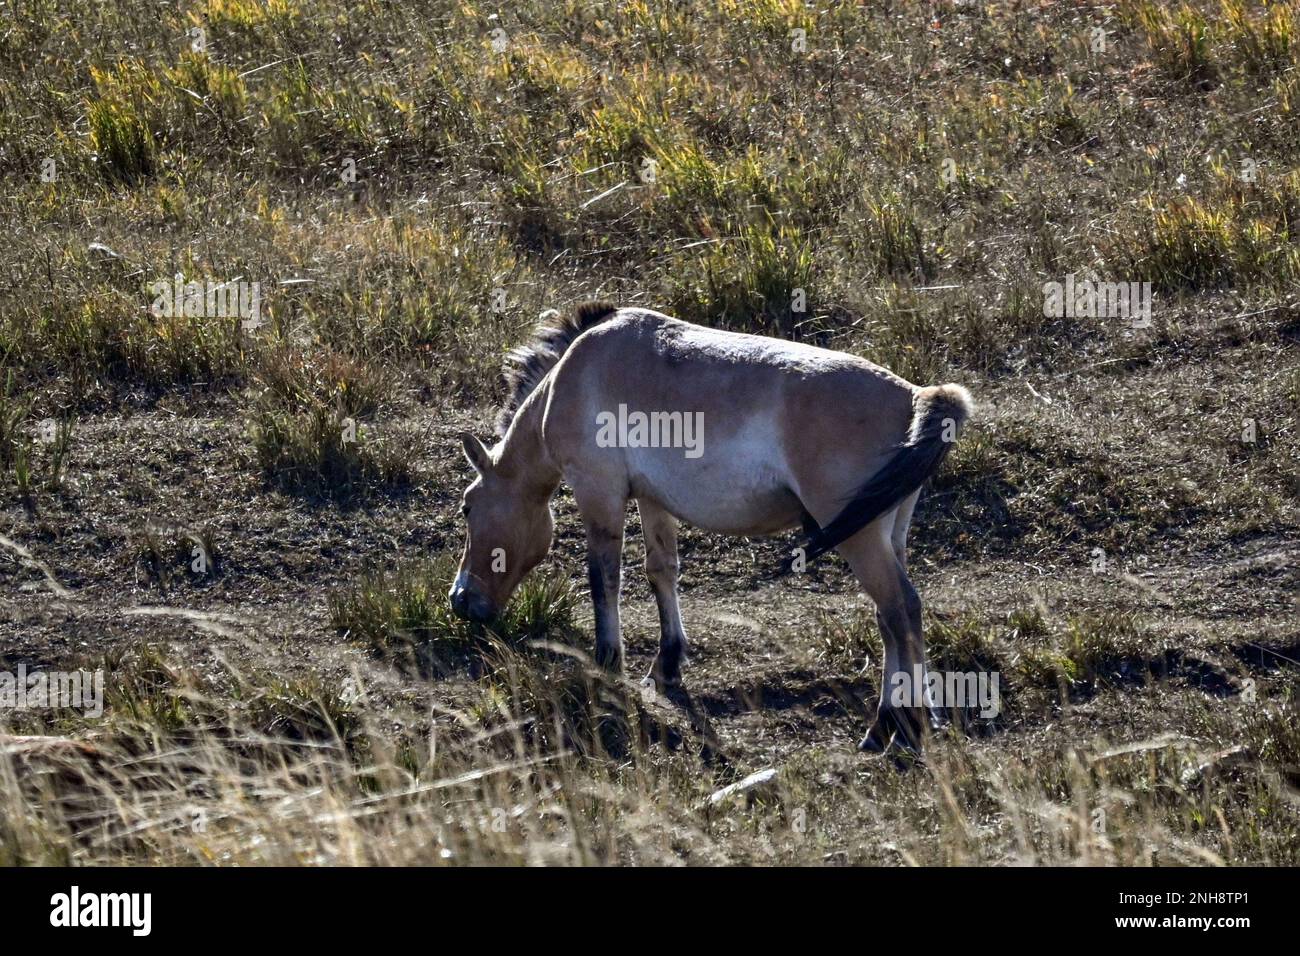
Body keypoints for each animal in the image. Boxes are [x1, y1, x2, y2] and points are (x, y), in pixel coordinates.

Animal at [452, 304, 972, 754]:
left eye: (467, 507)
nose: (460, 601)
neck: (572, 374)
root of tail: (917, 397)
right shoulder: (652, 499)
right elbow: (661, 571)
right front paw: (666, 664)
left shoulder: (599, 495)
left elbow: (604, 579)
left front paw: (608, 661)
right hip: (887, 535)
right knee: (891, 618)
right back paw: (905, 718)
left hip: (859, 539)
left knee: (900, 610)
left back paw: (896, 725)